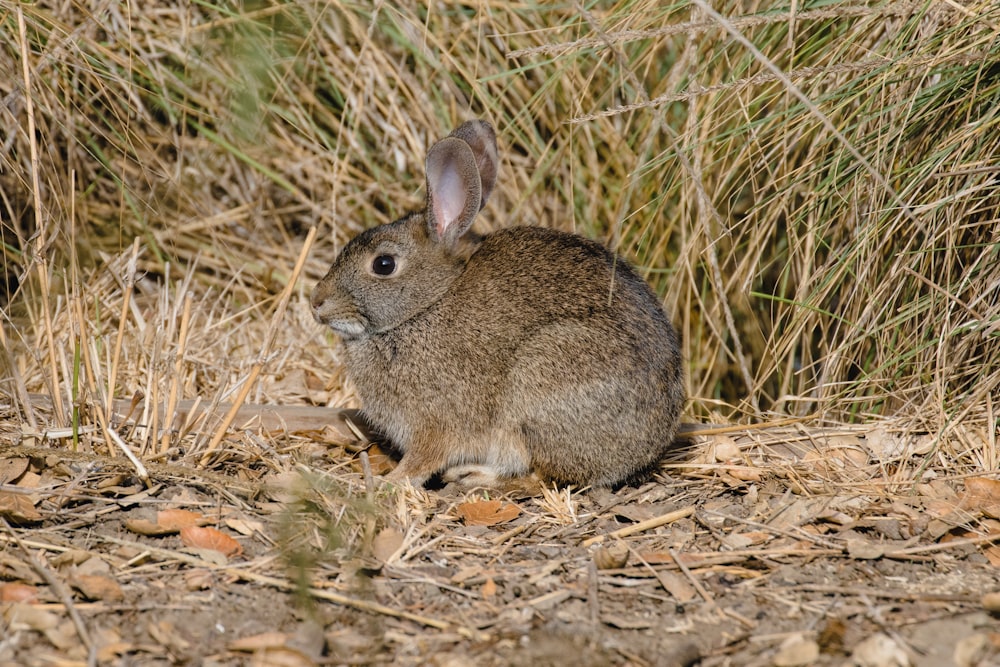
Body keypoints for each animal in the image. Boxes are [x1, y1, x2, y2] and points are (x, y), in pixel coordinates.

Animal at [310, 120, 688, 488]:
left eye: (384, 264)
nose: (317, 302)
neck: (424, 306)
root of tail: (649, 447)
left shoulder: (435, 421)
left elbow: (423, 459)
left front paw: (390, 481)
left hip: (540, 384)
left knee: (540, 476)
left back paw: (473, 475)